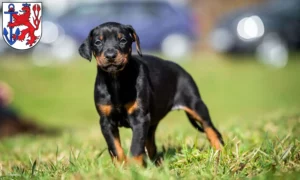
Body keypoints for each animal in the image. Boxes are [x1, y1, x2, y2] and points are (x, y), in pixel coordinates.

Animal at [78, 21, 224, 167]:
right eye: (98, 42)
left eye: (123, 40)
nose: (110, 55)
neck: (116, 79)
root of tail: (181, 69)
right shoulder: (106, 121)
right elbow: (114, 147)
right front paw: (121, 167)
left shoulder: (140, 118)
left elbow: (136, 145)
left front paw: (134, 167)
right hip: (152, 122)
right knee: (151, 144)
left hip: (195, 104)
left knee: (211, 129)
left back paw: (220, 153)